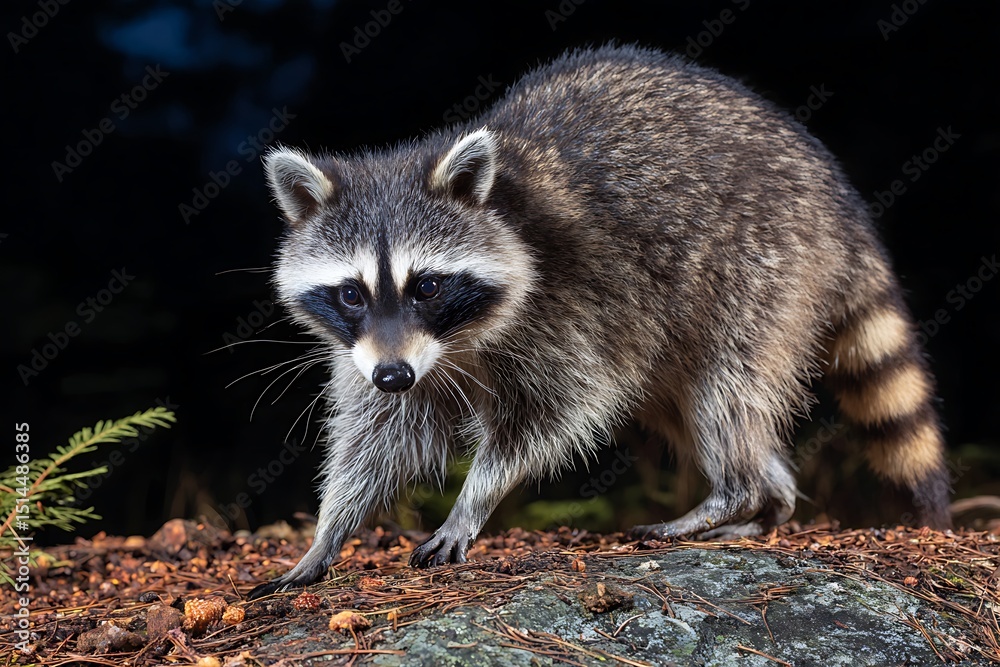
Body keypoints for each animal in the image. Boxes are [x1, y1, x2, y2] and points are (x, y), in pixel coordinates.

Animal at [247, 45, 951, 598]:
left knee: (724, 392)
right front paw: (329, 530)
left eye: (428, 286)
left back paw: (737, 490)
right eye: (351, 294)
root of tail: (838, 197)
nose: (394, 374)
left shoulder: (566, 304)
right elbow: (378, 435)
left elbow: (551, 417)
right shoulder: (373, 351)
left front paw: (473, 502)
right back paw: (767, 499)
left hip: (763, 266)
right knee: (690, 402)